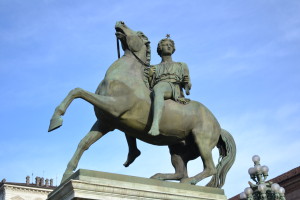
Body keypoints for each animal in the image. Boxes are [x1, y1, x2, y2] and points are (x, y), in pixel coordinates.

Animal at [49, 21, 236, 188]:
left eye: (139, 33)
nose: (120, 22)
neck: (126, 77)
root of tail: (218, 125)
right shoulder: (106, 122)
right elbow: (84, 143)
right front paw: (67, 174)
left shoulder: (113, 108)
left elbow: (78, 91)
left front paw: (55, 120)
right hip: (177, 148)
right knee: (181, 172)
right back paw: (158, 176)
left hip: (201, 140)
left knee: (209, 168)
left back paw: (189, 181)